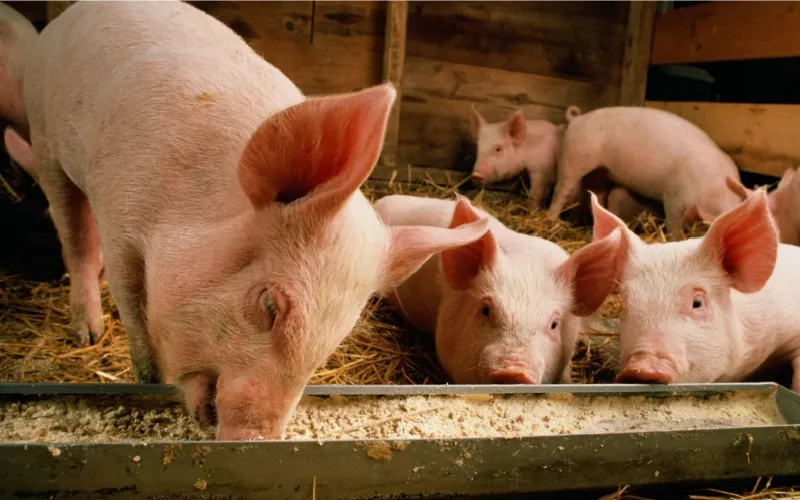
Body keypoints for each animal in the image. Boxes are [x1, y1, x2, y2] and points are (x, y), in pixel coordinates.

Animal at [14, 1, 488, 440]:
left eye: (337, 336)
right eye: (270, 306)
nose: (257, 438)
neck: (183, 207)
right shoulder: (120, 217)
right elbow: (134, 311)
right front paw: (145, 380)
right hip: (43, 136)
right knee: (74, 233)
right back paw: (88, 335)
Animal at [544, 106, 744, 241]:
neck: (717, 191)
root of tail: (577, 119)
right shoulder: (673, 199)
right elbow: (673, 226)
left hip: (599, 172)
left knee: (598, 195)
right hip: (574, 157)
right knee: (562, 190)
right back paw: (551, 220)